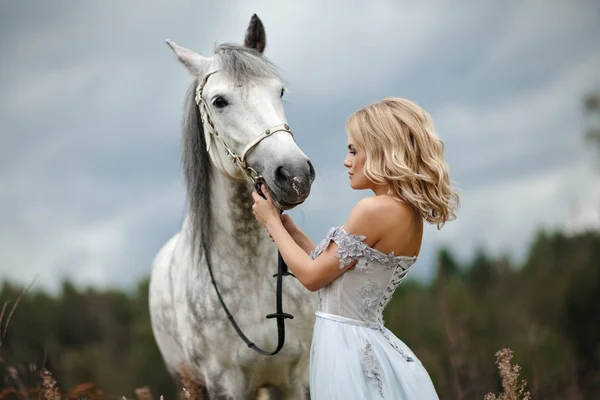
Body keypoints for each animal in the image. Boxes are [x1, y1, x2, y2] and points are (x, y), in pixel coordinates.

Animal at [149, 14, 316, 398]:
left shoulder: (296, 378)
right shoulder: (223, 382)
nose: (295, 174)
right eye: (219, 101)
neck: (252, 275)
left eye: (279, 92)